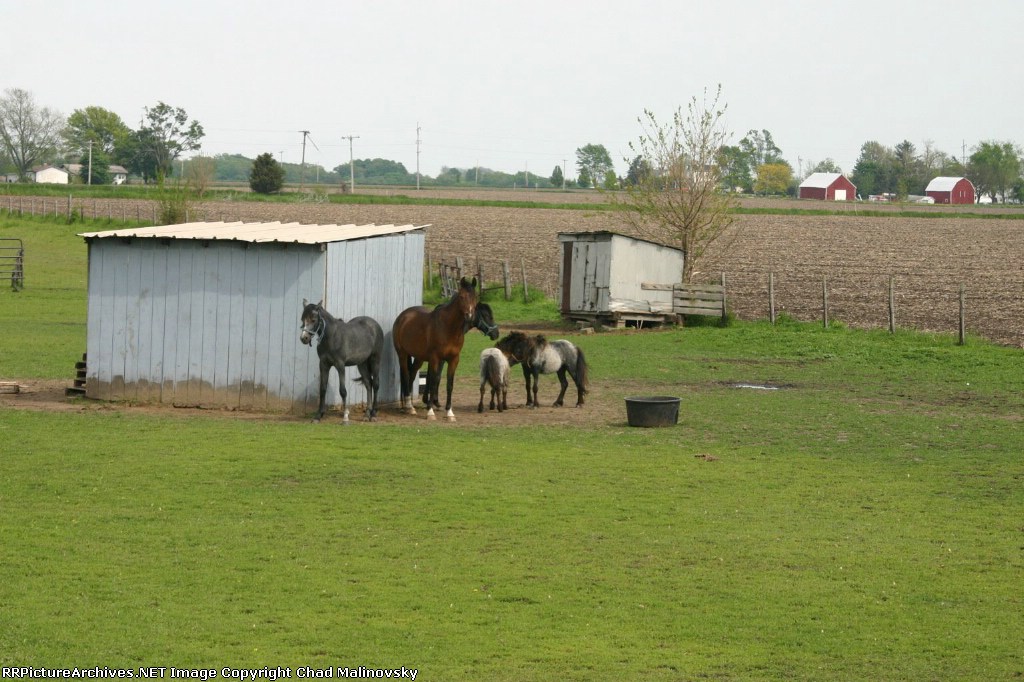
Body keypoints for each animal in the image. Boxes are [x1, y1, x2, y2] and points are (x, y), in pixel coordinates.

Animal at [392, 276, 478, 421]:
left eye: (475, 297)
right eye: (461, 296)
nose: (469, 317)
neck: (448, 328)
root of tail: (403, 316)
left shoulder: (454, 360)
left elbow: (449, 385)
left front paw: (450, 413)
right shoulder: (435, 359)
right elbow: (432, 382)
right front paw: (430, 412)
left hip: (419, 358)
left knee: (412, 375)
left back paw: (411, 407)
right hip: (402, 354)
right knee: (406, 375)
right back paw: (409, 406)